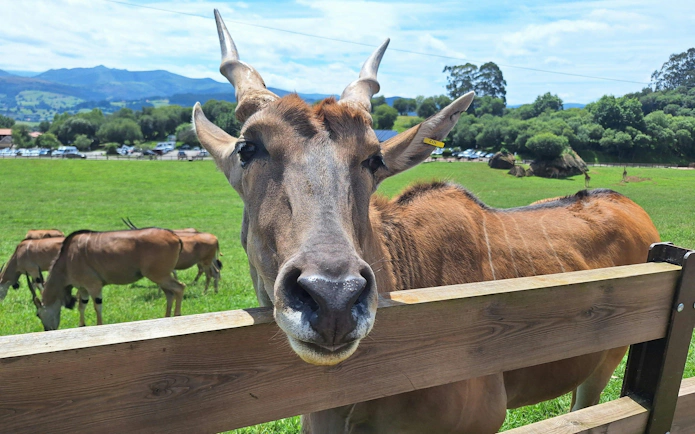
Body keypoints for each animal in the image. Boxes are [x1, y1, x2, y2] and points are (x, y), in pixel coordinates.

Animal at [34, 228, 185, 330]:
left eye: (38, 314)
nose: (47, 330)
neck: (67, 258)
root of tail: (174, 236)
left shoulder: (94, 286)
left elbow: (97, 307)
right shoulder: (83, 289)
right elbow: (82, 306)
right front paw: (81, 325)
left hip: (159, 276)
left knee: (180, 287)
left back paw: (177, 315)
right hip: (161, 277)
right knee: (170, 294)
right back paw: (166, 318)